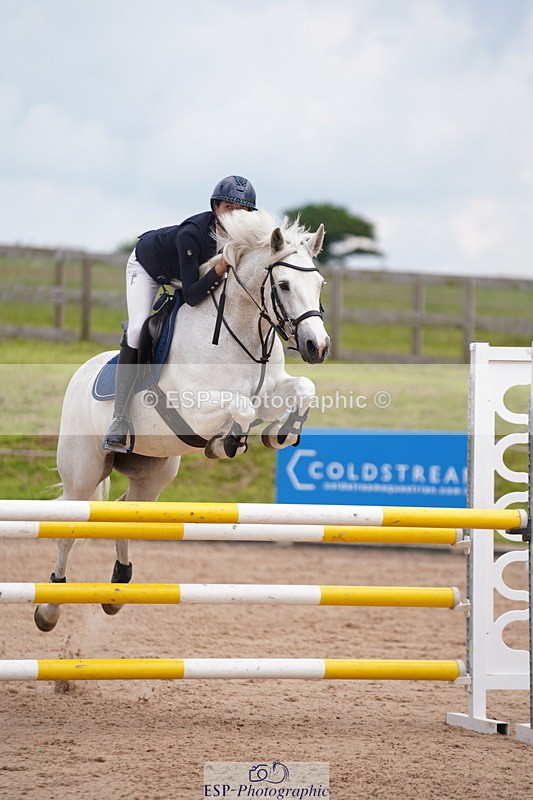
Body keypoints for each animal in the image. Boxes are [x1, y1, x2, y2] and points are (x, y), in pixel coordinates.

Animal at [34, 209, 330, 631]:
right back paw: (50, 605)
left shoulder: (271, 390)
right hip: (83, 473)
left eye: (320, 283)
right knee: (68, 530)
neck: (243, 333)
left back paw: (117, 587)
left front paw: (280, 434)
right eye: (285, 284)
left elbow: (303, 388)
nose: (317, 347)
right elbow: (241, 409)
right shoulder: (196, 407)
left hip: (154, 471)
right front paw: (226, 444)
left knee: (125, 513)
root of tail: (81, 374)